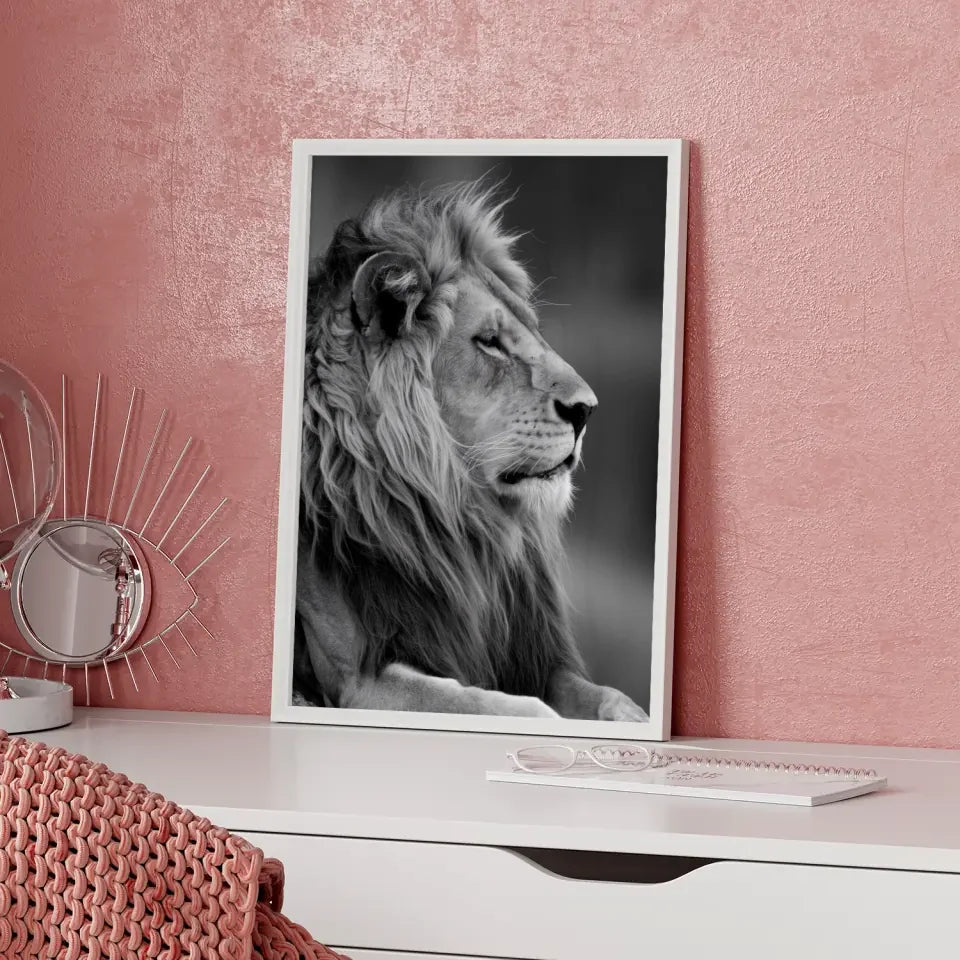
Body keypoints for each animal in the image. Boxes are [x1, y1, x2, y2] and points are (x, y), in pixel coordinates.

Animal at [293, 179, 647, 722]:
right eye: (490, 342)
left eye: (533, 332)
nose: (586, 410)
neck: (460, 525)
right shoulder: (359, 680)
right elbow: (508, 709)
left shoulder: (528, 657)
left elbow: (612, 698)